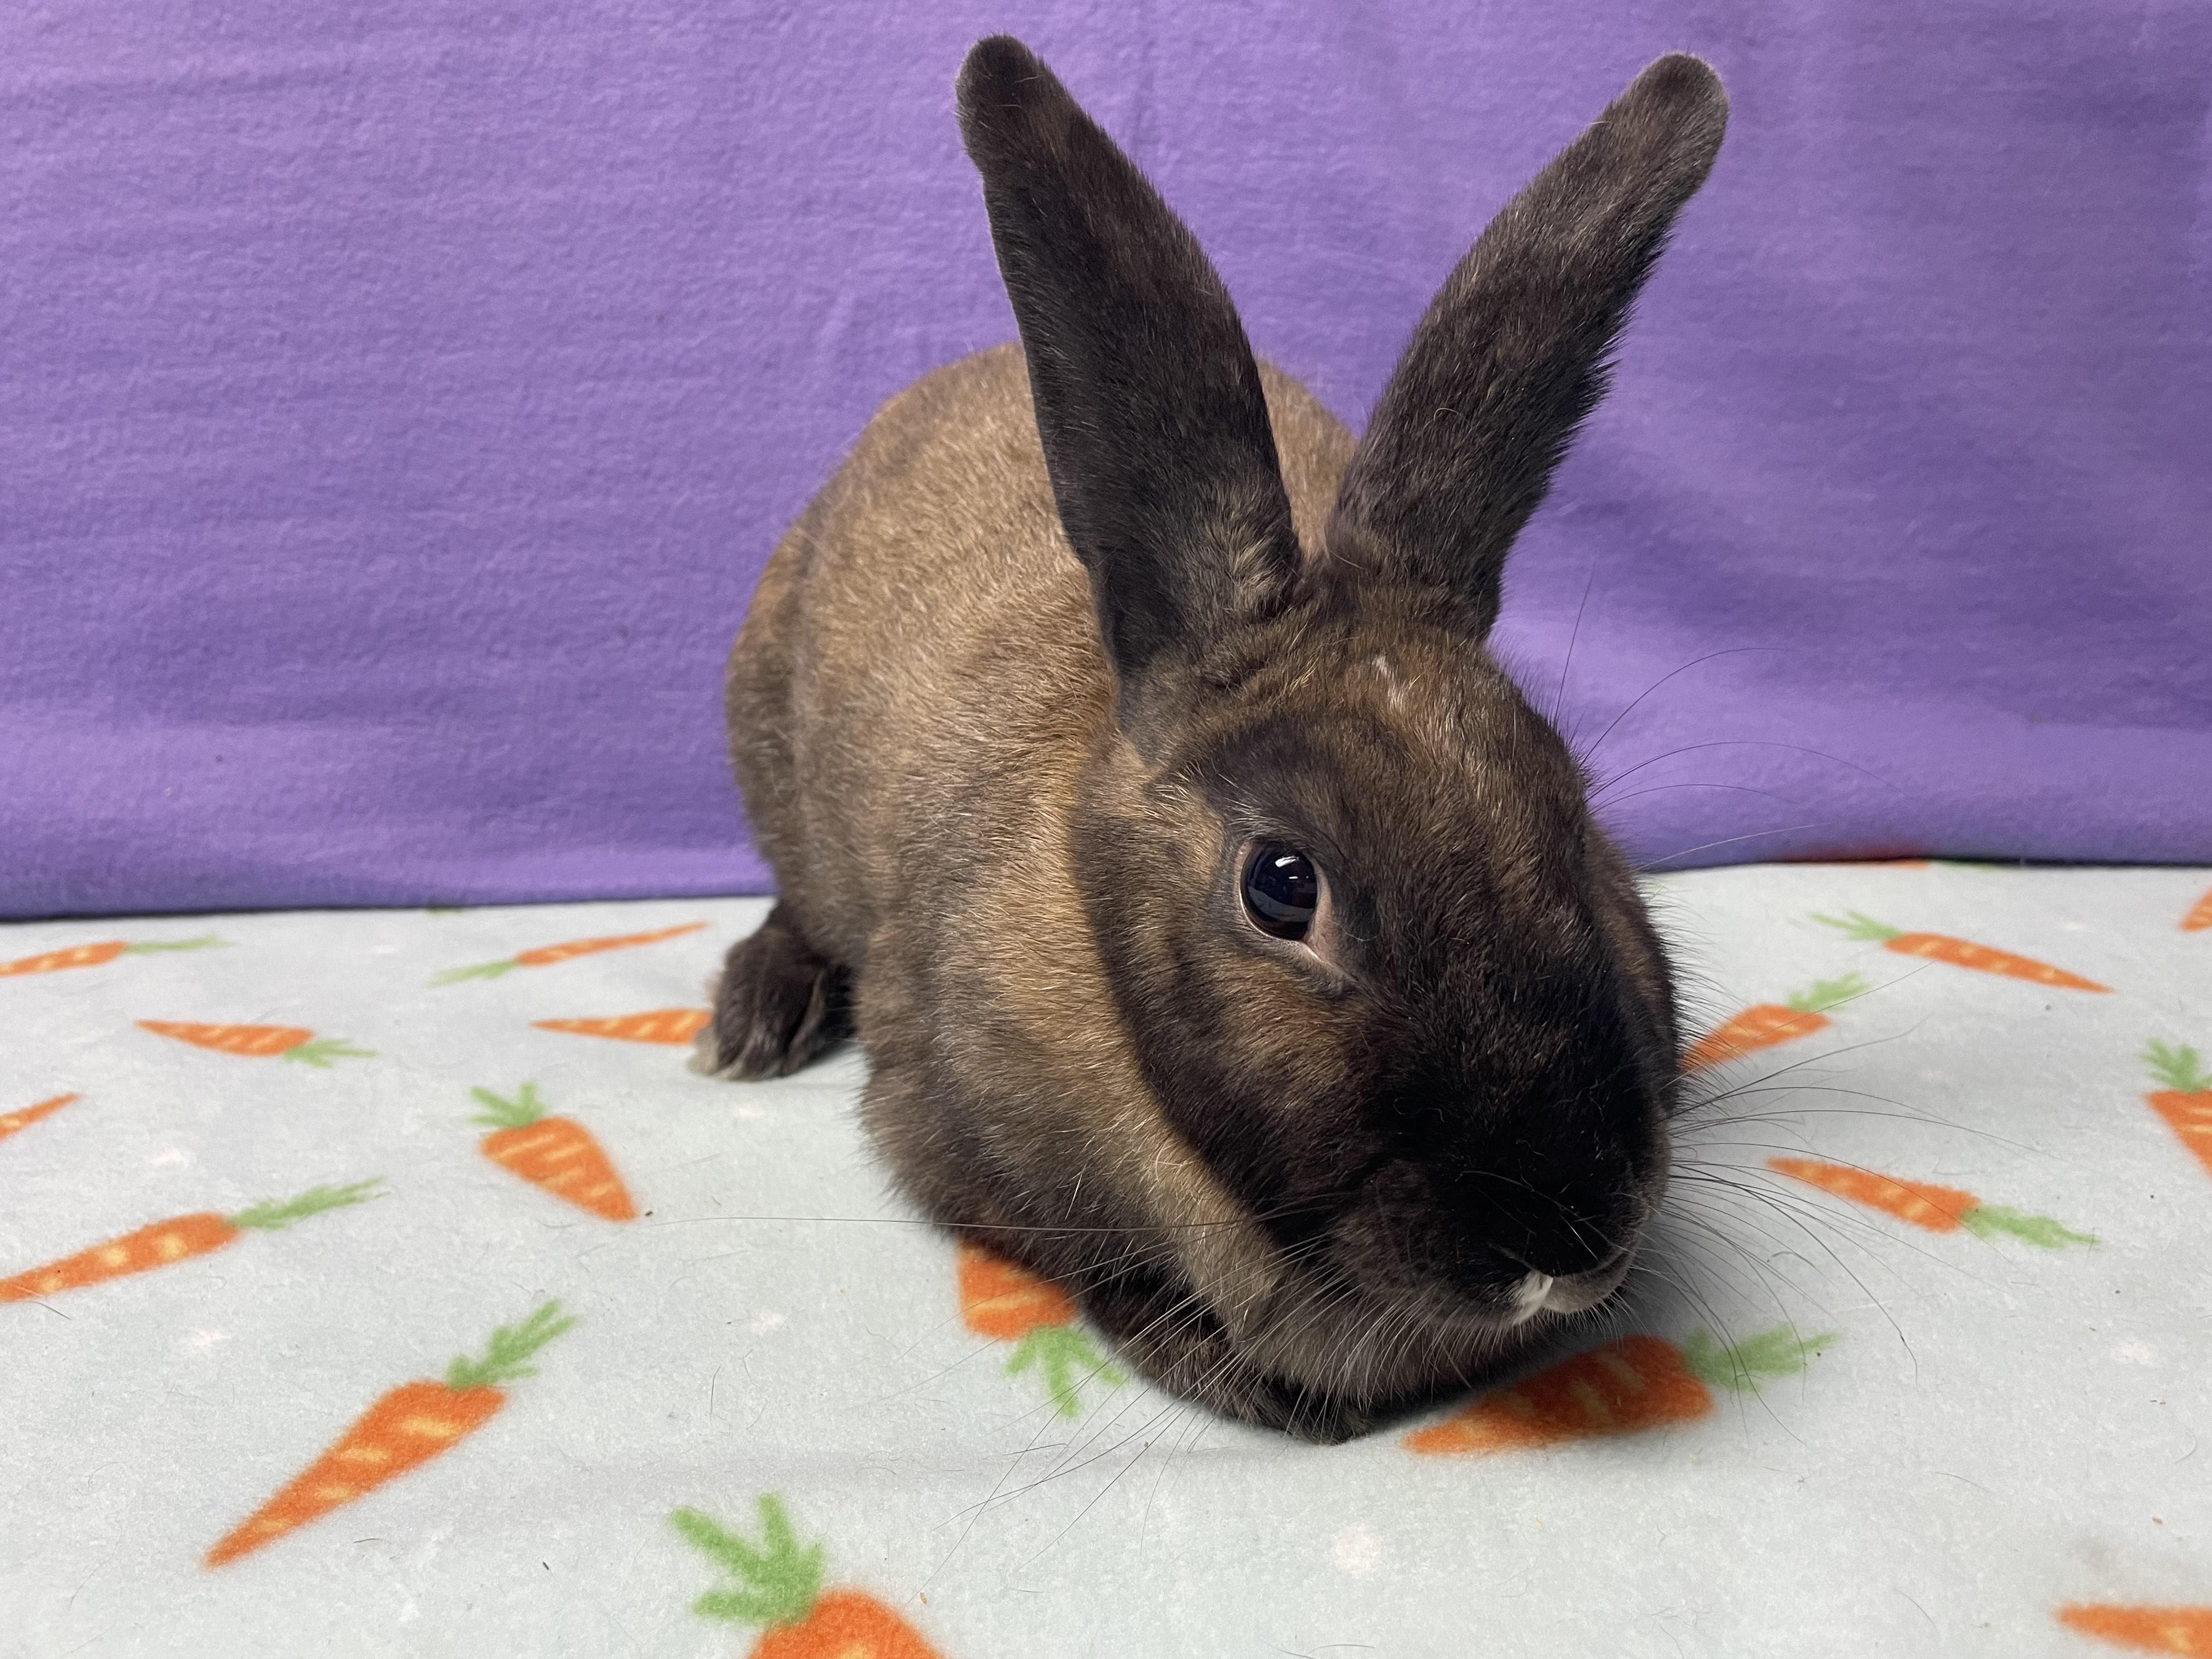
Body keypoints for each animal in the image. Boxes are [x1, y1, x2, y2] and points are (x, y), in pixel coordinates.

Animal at [699, 35, 1727, 1441]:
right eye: (1281, 887)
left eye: (1574, 819)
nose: (1562, 1241)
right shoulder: (946, 1124)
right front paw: (1227, 1368)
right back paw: (754, 1019)